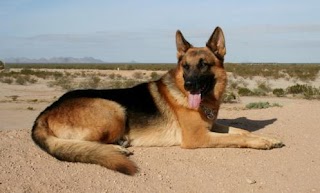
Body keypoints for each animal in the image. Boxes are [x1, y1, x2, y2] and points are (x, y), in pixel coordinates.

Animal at [31, 27, 282, 175]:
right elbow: (238, 138)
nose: (189, 85)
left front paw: (269, 138)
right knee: (82, 143)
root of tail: (45, 112)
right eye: (185, 67)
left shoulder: (211, 125)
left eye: (203, 65)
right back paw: (116, 148)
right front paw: (261, 142)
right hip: (113, 108)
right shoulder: (198, 137)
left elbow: (241, 131)